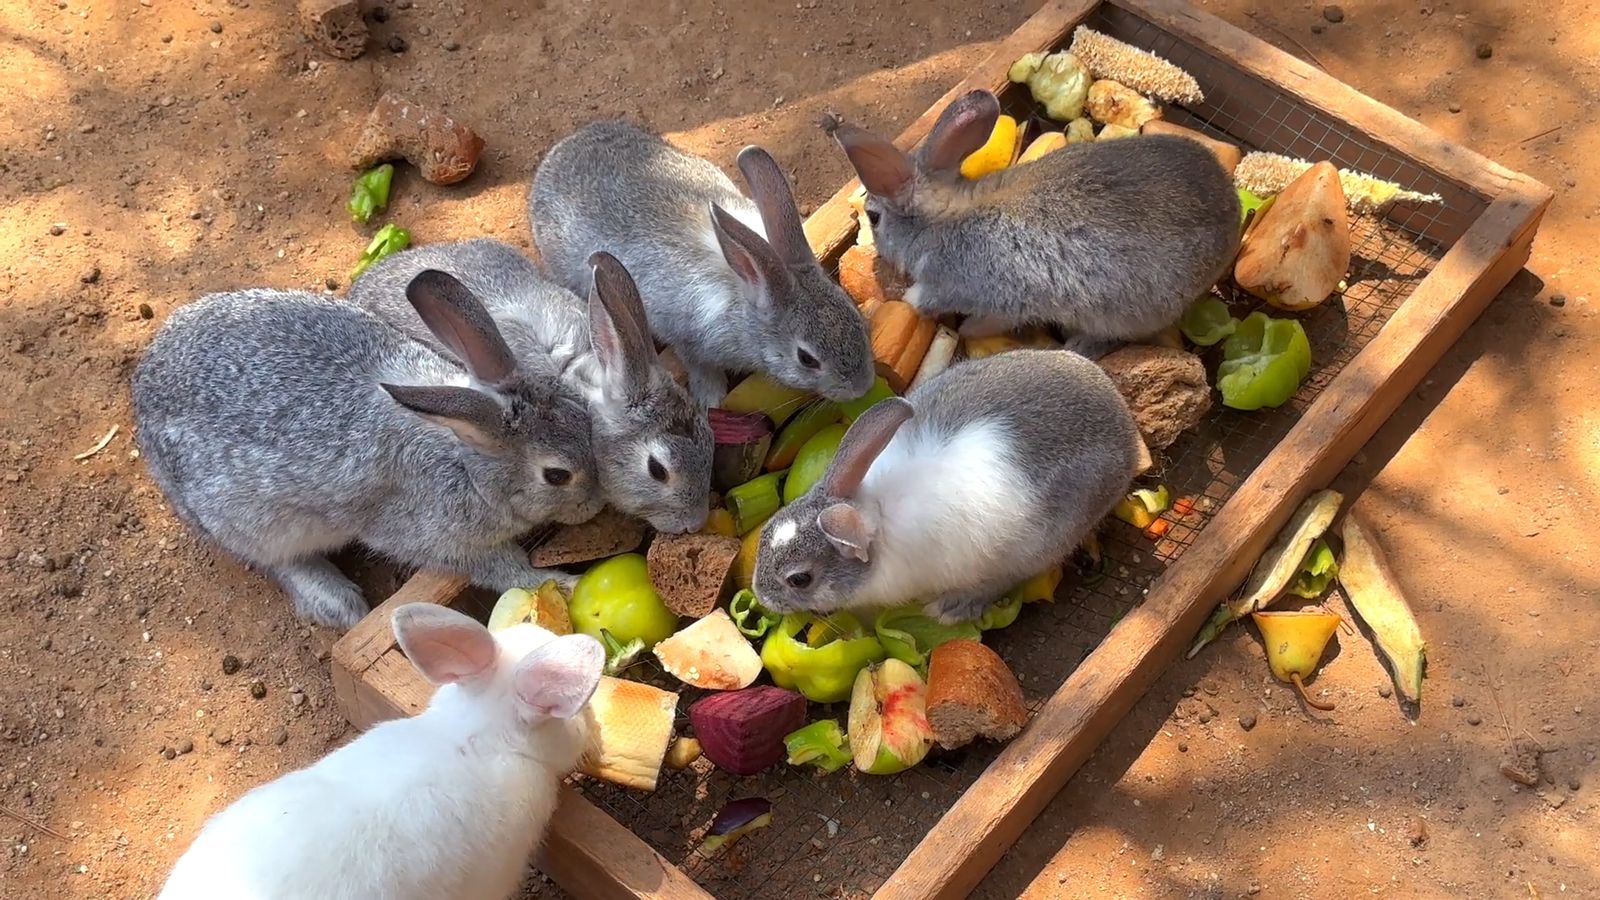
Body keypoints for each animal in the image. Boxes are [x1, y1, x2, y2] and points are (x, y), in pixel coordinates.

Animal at [131, 273, 603, 631]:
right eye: (556, 475)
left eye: (584, 417)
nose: (596, 506)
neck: (467, 462)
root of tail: (141, 392)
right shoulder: (437, 539)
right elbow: (504, 570)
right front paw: (560, 582)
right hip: (251, 523)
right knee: (277, 562)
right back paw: (337, 602)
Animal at [529, 120, 875, 407]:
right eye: (807, 359)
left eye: (855, 315)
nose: (862, 387)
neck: (746, 293)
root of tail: (554, 157)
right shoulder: (687, 339)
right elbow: (699, 367)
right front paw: (711, 399)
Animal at [754, 350, 1142, 624]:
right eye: (767, 531)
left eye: (800, 579)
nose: (760, 595)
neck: (873, 511)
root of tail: (1126, 432)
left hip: (1031, 548)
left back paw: (952, 608)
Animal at [824, 89, 1240, 359]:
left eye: (874, 217)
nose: (878, 257)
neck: (941, 220)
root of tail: (1233, 215)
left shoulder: (987, 294)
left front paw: (937, 315)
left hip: (1124, 313)